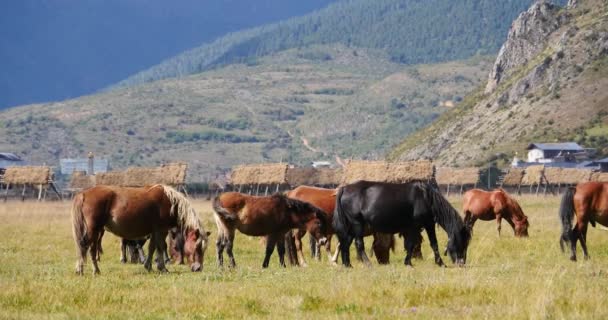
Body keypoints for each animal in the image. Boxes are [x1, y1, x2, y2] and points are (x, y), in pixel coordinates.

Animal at [70, 184, 209, 274]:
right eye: (197, 247)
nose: (198, 268)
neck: (171, 203)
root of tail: (84, 194)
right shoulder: (161, 230)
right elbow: (160, 247)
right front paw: (163, 268)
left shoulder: (154, 231)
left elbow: (152, 248)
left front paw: (149, 266)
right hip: (94, 230)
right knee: (88, 248)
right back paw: (91, 270)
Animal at [332, 180, 470, 268]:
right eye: (462, 241)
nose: (462, 263)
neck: (426, 198)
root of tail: (344, 189)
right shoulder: (420, 226)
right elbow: (421, 244)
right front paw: (439, 263)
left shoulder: (422, 225)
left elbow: (419, 244)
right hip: (357, 224)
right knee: (358, 244)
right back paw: (368, 264)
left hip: (350, 226)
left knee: (345, 243)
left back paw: (348, 265)